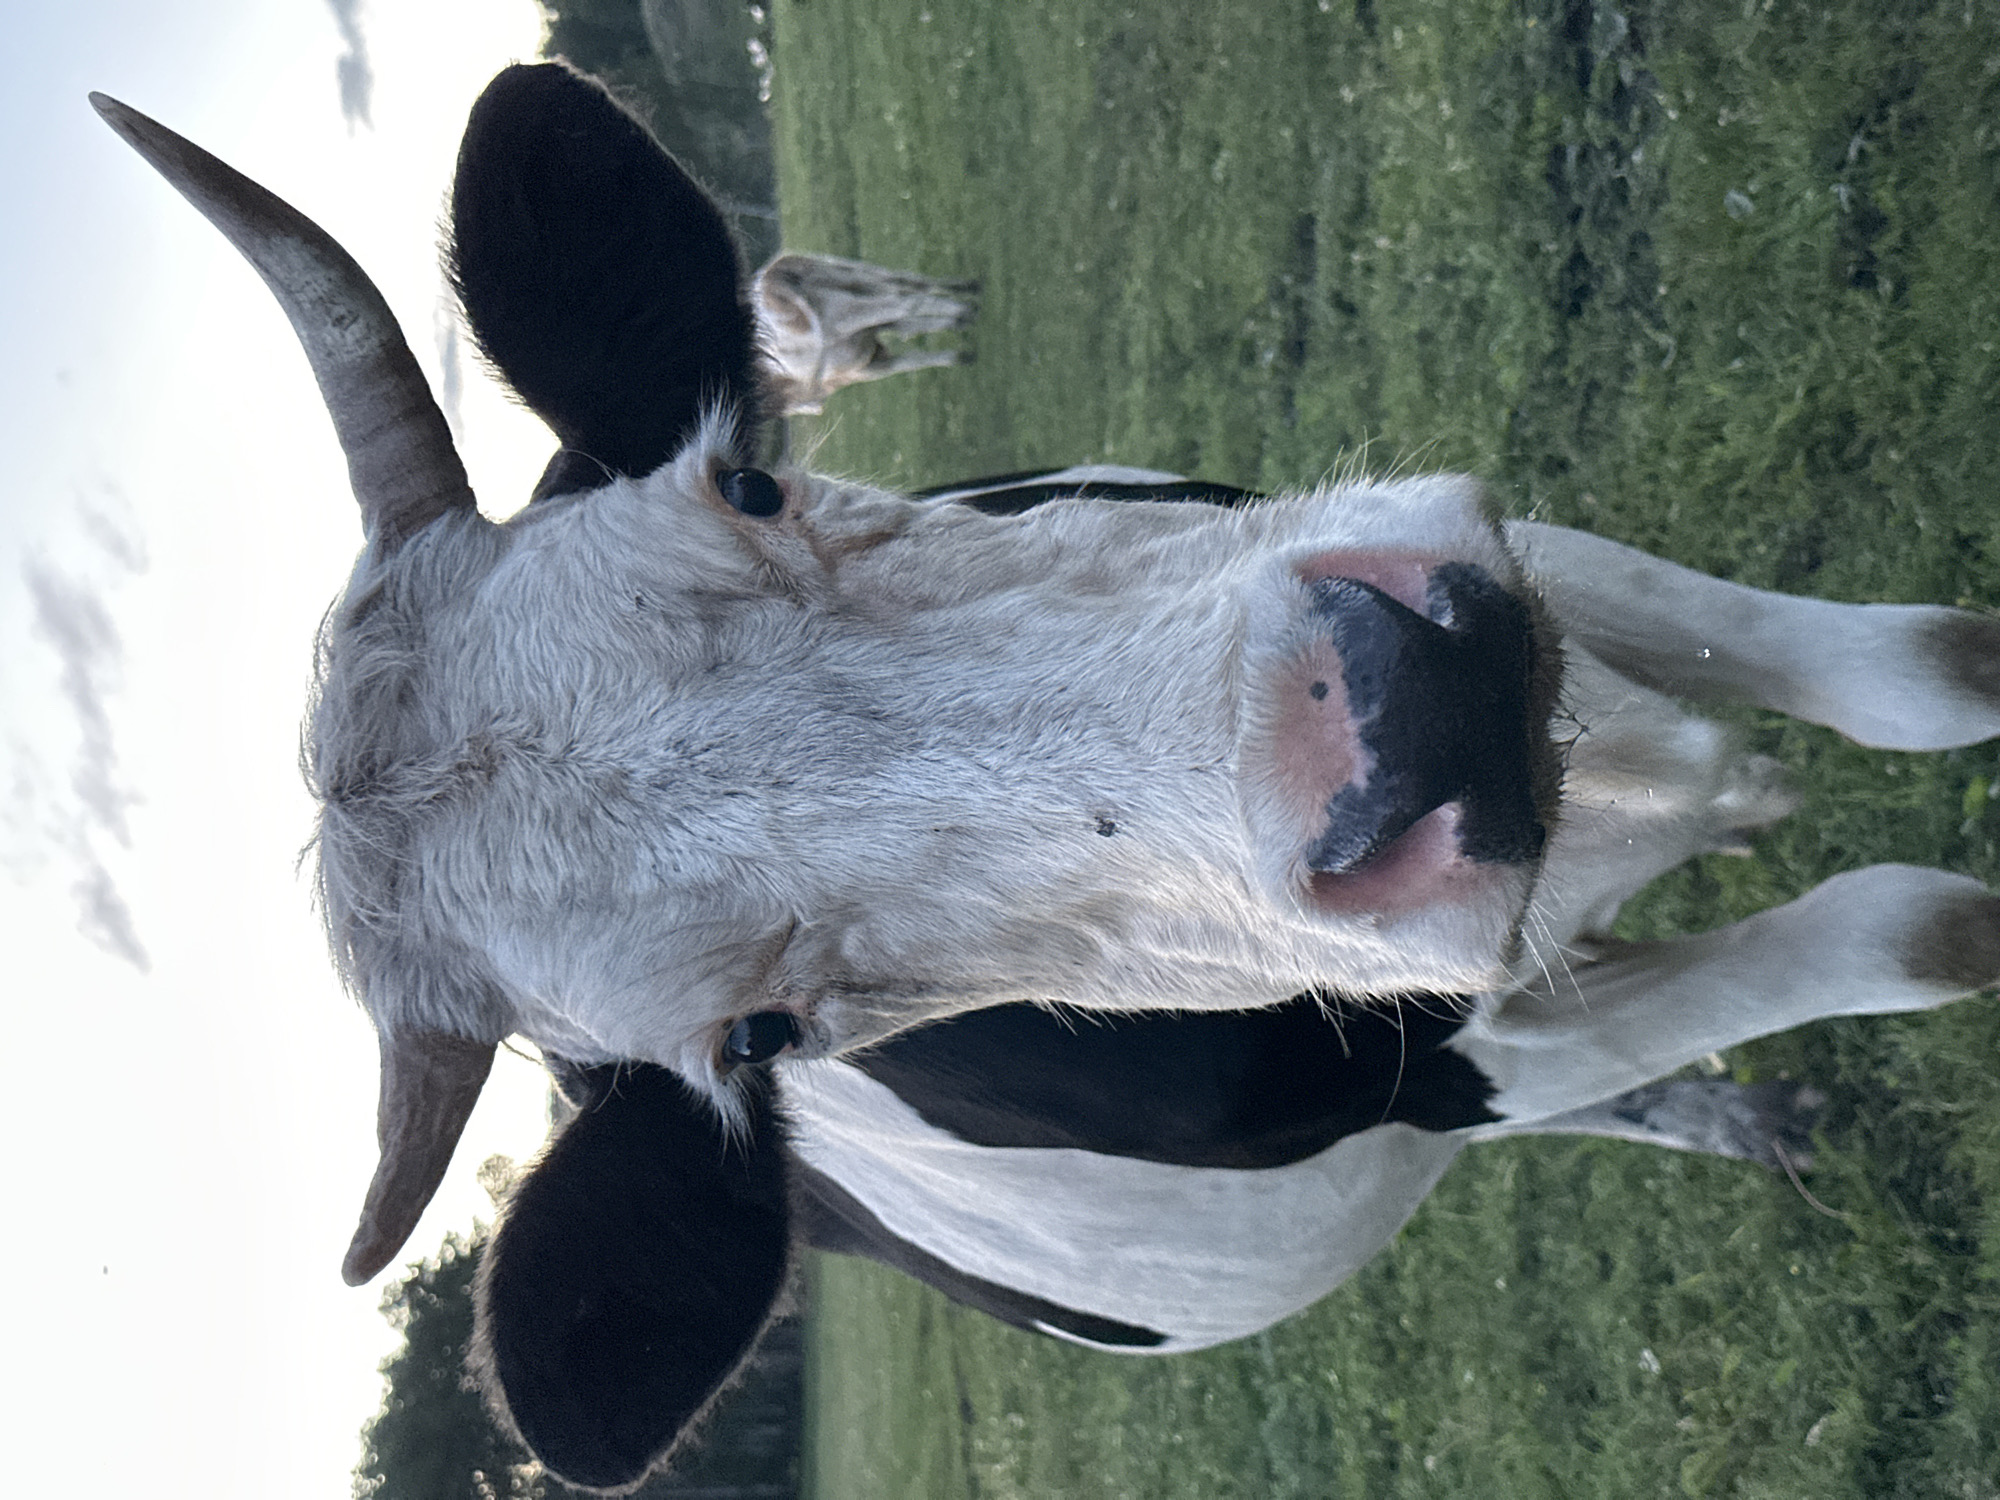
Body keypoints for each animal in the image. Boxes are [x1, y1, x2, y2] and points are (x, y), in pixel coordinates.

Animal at [752, 250, 978, 416]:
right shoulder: (874, 361)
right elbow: (915, 356)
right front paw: (963, 354)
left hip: (848, 305)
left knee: (906, 301)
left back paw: (966, 308)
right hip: (855, 277)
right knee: (907, 286)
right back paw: (967, 295)